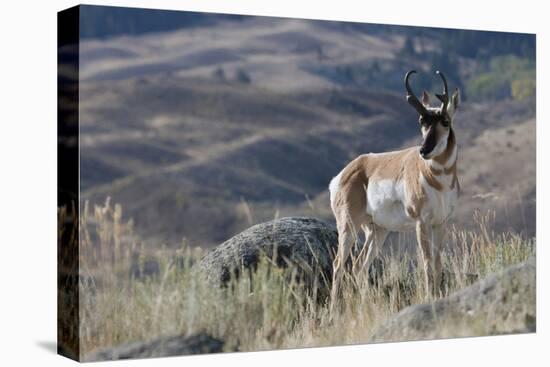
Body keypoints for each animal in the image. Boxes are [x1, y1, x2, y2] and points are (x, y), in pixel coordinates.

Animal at [330, 70, 464, 306]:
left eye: (445, 121)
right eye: (422, 121)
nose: (423, 150)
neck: (437, 180)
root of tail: (345, 173)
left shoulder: (441, 223)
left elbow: (438, 262)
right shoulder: (422, 223)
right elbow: (427, 262)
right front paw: (430, 297)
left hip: (377, 231)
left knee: (359, 267)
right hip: (348, 226)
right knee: (339, 264)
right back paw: (334, 310)